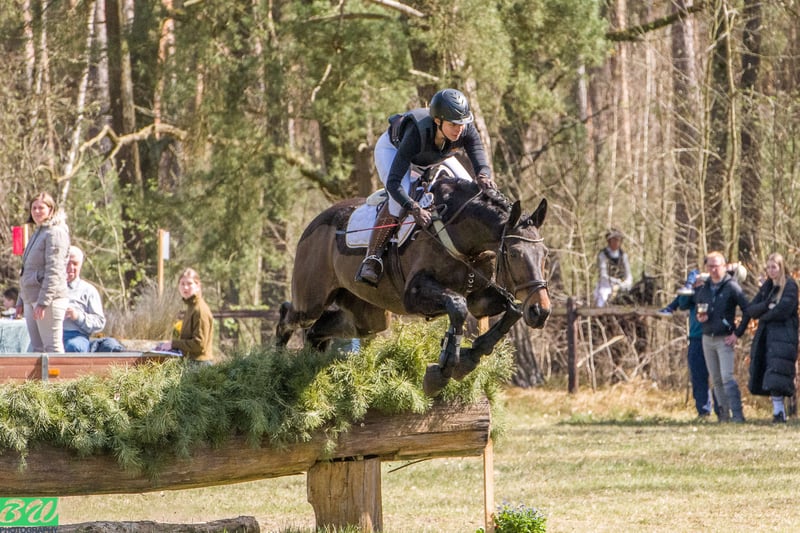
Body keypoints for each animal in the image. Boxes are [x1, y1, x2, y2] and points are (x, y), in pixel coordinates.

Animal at [276, 174, 551, 395]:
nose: (541, 311)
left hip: (367, 317)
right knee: (288, 314)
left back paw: (310, 365)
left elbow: (511, 310)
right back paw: (275, 365)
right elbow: (457, 306)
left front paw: (468, 358)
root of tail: (313, 224)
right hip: (310, 301)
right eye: (514, 254)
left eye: (545, 254)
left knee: (319, 330)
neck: (462, 239)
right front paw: (443, 371)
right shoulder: (415, 294)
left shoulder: (479, 298)